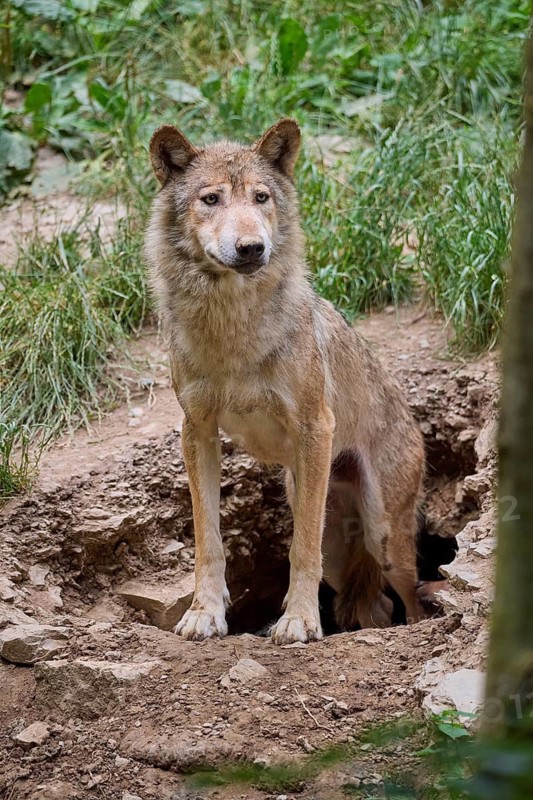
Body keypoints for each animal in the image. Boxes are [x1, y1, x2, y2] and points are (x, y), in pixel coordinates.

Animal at [145, 119, 427, 645]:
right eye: (211, 199)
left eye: (261, 197)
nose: (252, 247)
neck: (233, 331)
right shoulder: (197, 431)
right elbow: (208, 540)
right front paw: (205, 614)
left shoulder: (315, 426)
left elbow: (301, 549)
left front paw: (297, 622)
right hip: (321, 518)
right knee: (373, 603)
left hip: (383, 536)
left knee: (412, 599)